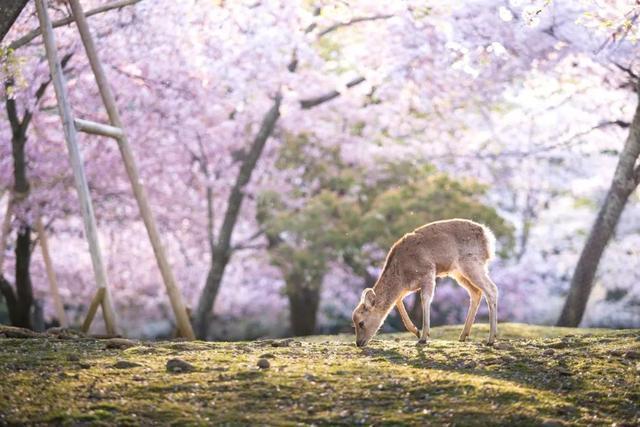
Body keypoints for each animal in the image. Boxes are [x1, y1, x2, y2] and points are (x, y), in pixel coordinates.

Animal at [352, 221, 498, 348]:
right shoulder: (408, 286)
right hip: (458, 272)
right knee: (476, 292)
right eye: (354, 322)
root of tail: (488, 236)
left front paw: (423, 337)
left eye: (361, 323)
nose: (358, 343)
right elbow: (398, 301)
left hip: (472, 263)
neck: (402, 275)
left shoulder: (428, 272)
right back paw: (463, 335)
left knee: (491, 289)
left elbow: (425, 300)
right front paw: (416, 331)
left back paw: (491, 339)